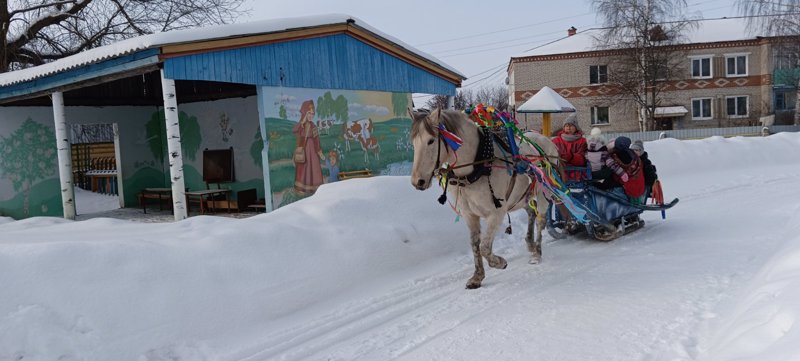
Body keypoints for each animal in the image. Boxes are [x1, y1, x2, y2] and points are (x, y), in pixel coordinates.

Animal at [412, 108, 556, 288]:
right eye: (413, 143)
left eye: (431, 141)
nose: (417, 181)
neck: (478, 166)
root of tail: (546, 139)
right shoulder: (470, 215)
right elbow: (475, 245)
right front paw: (477, 277)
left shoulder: (496, 213)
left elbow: (485, 247)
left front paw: (499, 262)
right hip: (521, 197)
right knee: (531, 212)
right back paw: (530, 245)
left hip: (543, 193)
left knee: (540, 221)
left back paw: (537, 253)